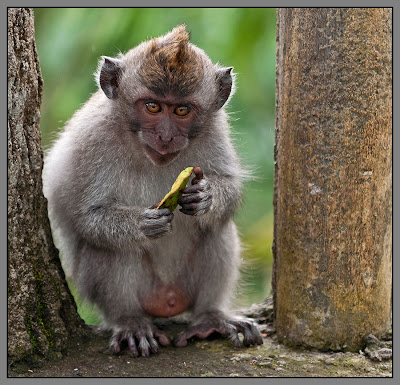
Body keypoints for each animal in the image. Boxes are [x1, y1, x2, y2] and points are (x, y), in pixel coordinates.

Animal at [43, 24, 262, 356]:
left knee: (215, 229)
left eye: (182, 110)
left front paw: (205, 196)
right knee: (111, 248)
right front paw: (142, 223)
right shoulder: (89, 139)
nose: (166, 136)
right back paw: (130, 321)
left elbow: (229, 187)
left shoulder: (215, 130)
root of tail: (167, 300)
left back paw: (211, 317)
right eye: (153, 106)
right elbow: (84, 217)